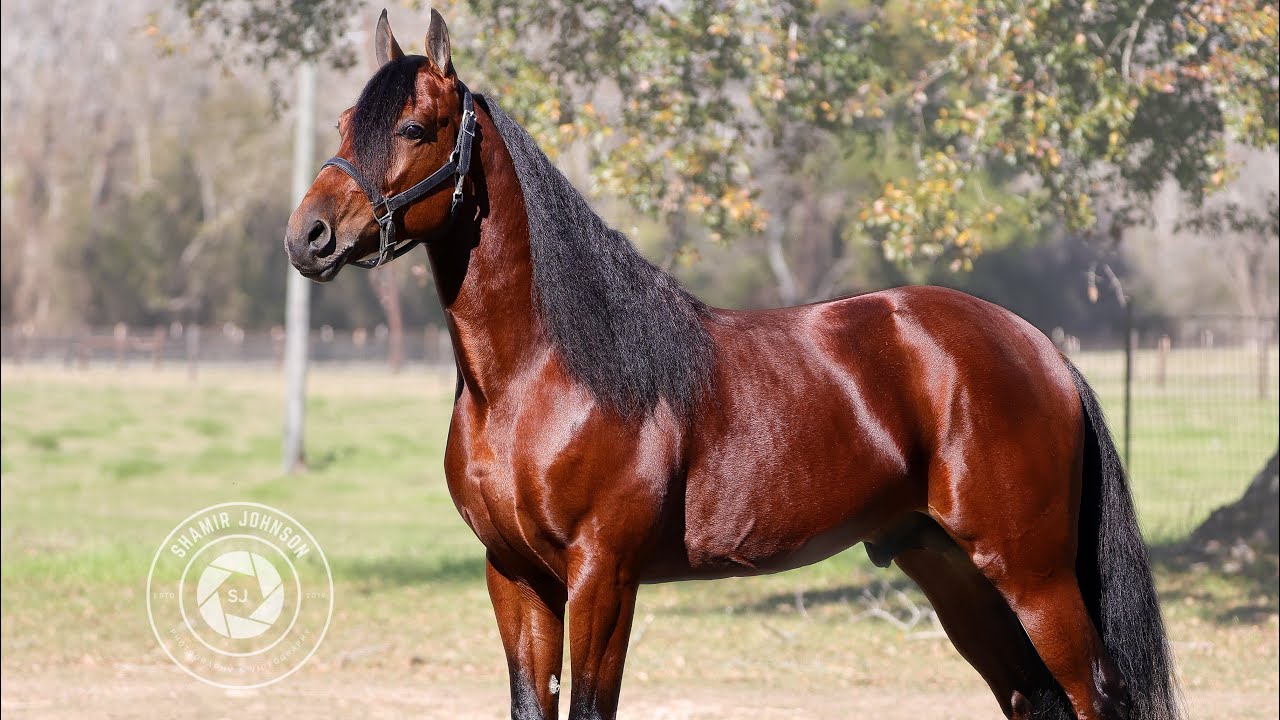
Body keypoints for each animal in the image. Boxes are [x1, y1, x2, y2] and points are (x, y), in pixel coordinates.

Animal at [284, 10, 1180, 720]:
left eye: (415, 128)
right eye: (341, 123)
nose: (309, 237)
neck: (535, 379)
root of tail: (1040, 349)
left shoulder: (602, 577)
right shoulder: (513, 576)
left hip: (1033, 575)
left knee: (1092, 694)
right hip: (950, 567)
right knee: (1031, 698)